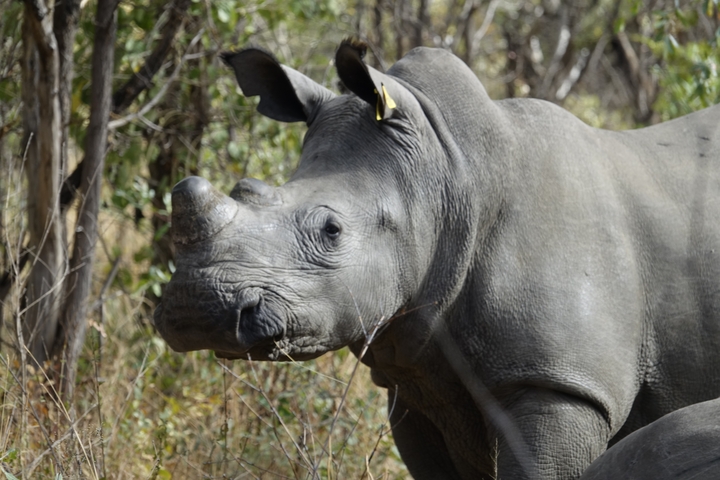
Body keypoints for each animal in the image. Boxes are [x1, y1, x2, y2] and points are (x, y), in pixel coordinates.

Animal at [153, 39, 720, 479]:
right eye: (244, 190)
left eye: (331, 231)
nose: (197, 306)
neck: (449, 172)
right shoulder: (416, 383)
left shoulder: (562, 385)